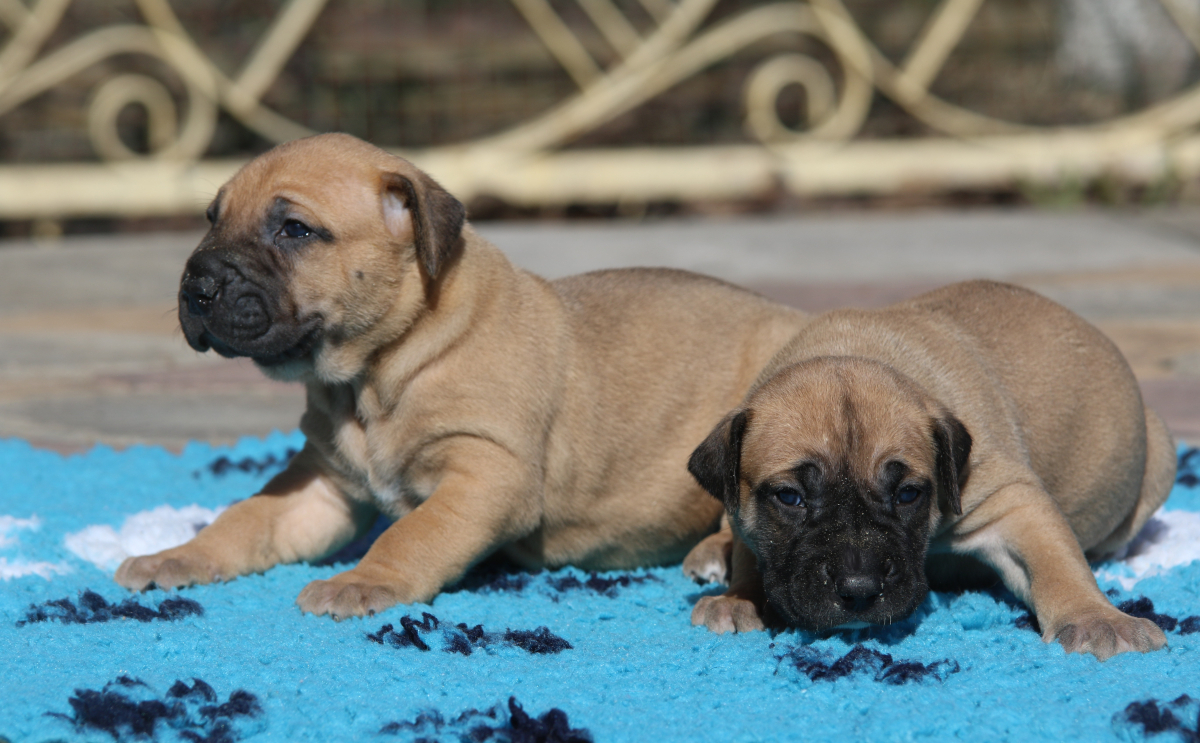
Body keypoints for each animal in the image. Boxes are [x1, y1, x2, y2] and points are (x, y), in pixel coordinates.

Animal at [113, 133, 809, 619]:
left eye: (295, 230)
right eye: (212, 217)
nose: (196, 285)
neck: (378, 372)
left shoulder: (486, 472)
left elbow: (413, 534)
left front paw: (362, 581)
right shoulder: (320, 489)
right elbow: (247, 518)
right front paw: (177, 555)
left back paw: (713, 555)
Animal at [685, 280, 1175, 660]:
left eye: (908, 494)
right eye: (790, 497)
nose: (859, 588)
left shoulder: (1009, 499)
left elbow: (1058, 560)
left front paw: (1096, 619)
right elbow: (750, 549)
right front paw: (739, 597)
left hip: (1163, 458)